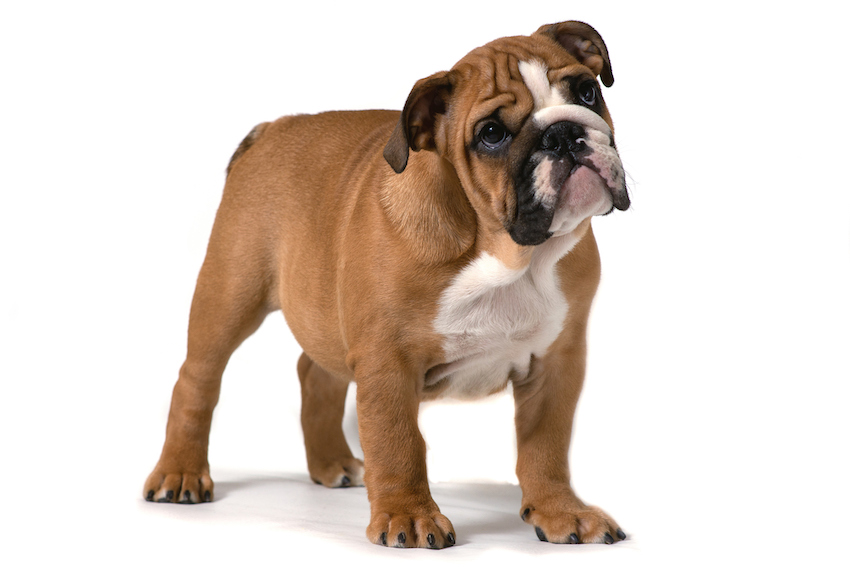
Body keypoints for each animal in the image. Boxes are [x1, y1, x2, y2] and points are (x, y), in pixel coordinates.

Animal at [141, 20, 628, 548]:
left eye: (587, 91)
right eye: (491, 134)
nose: (562, 133)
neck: (507, 253)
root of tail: (272, 128)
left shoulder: (557, 361)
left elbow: (546, 446)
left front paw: (561, 511)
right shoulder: (386, 360)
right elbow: (397, 442)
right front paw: (409, 517)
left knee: (315, 373)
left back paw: (331, 463)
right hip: (230, 292)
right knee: (197, 379)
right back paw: (180, 473)